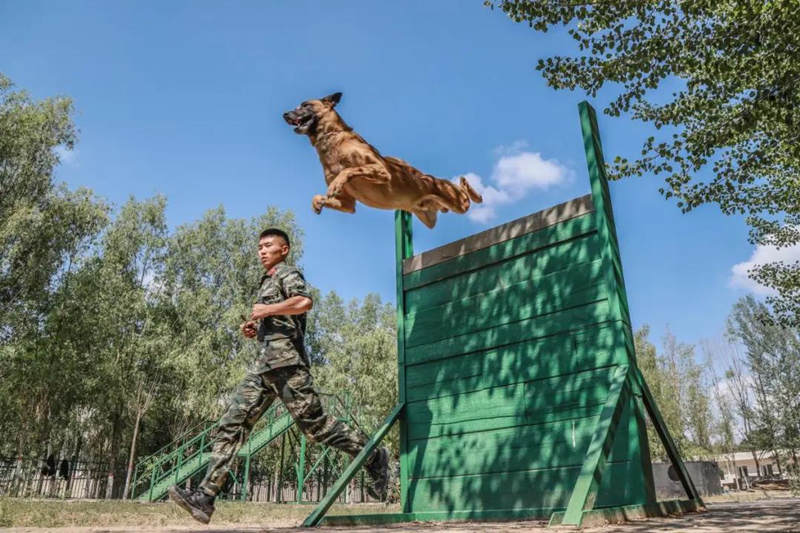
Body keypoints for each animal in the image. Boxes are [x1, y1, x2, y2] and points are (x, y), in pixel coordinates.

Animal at [282, 92, 482, 225]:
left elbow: (349, 169)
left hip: (457, 201)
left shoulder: (382, 170)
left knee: (465, 194)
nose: (284, 114)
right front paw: (319, 202)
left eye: (305, 105)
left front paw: (335, 184)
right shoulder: (348, 204)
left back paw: (470, 188)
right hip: (429, 216)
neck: (332, 137)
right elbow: (318, 197)